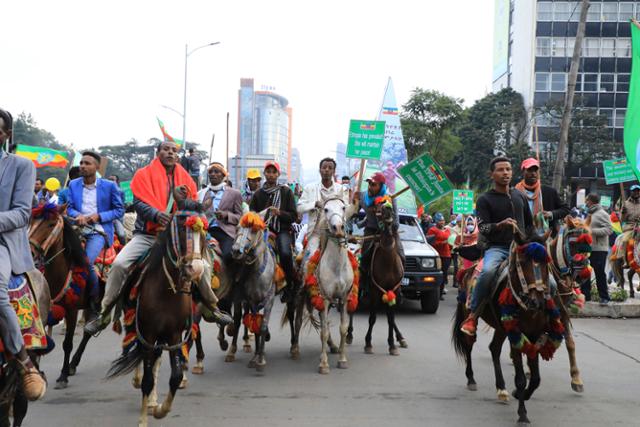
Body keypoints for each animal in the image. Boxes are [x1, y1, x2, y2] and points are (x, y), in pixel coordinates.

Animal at [27, 202, 100, 390]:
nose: (30, 253)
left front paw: (63, 376)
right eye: (31, 221)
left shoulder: (72, 311)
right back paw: (74, 364)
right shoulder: (45, 308)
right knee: (88, 331)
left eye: (51, 224)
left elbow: (67, 344)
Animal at [104, 206, 205, 426]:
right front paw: (143, 420)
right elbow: (147, 379)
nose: (196, 269)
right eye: (182, 229)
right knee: (138, 351)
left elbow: (175, 377)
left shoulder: (174, 335)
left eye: (203, 233)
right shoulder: (148, 333)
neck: (166, 291)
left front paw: (160, 410)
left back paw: (152, 401)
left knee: (155, 359)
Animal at [450, 232, 560, 426]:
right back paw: (471, 379)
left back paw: (501, 388)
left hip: (501, 328)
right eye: (522, 261)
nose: (537, 301)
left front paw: (521, 395)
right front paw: (522, 414)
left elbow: (536, 378)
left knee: (494, 348)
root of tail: (467, 271)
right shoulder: (515, 336)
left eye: (545, 262)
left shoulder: (534, 335)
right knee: (469, 344)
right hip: (471, 314)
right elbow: (521, 379)